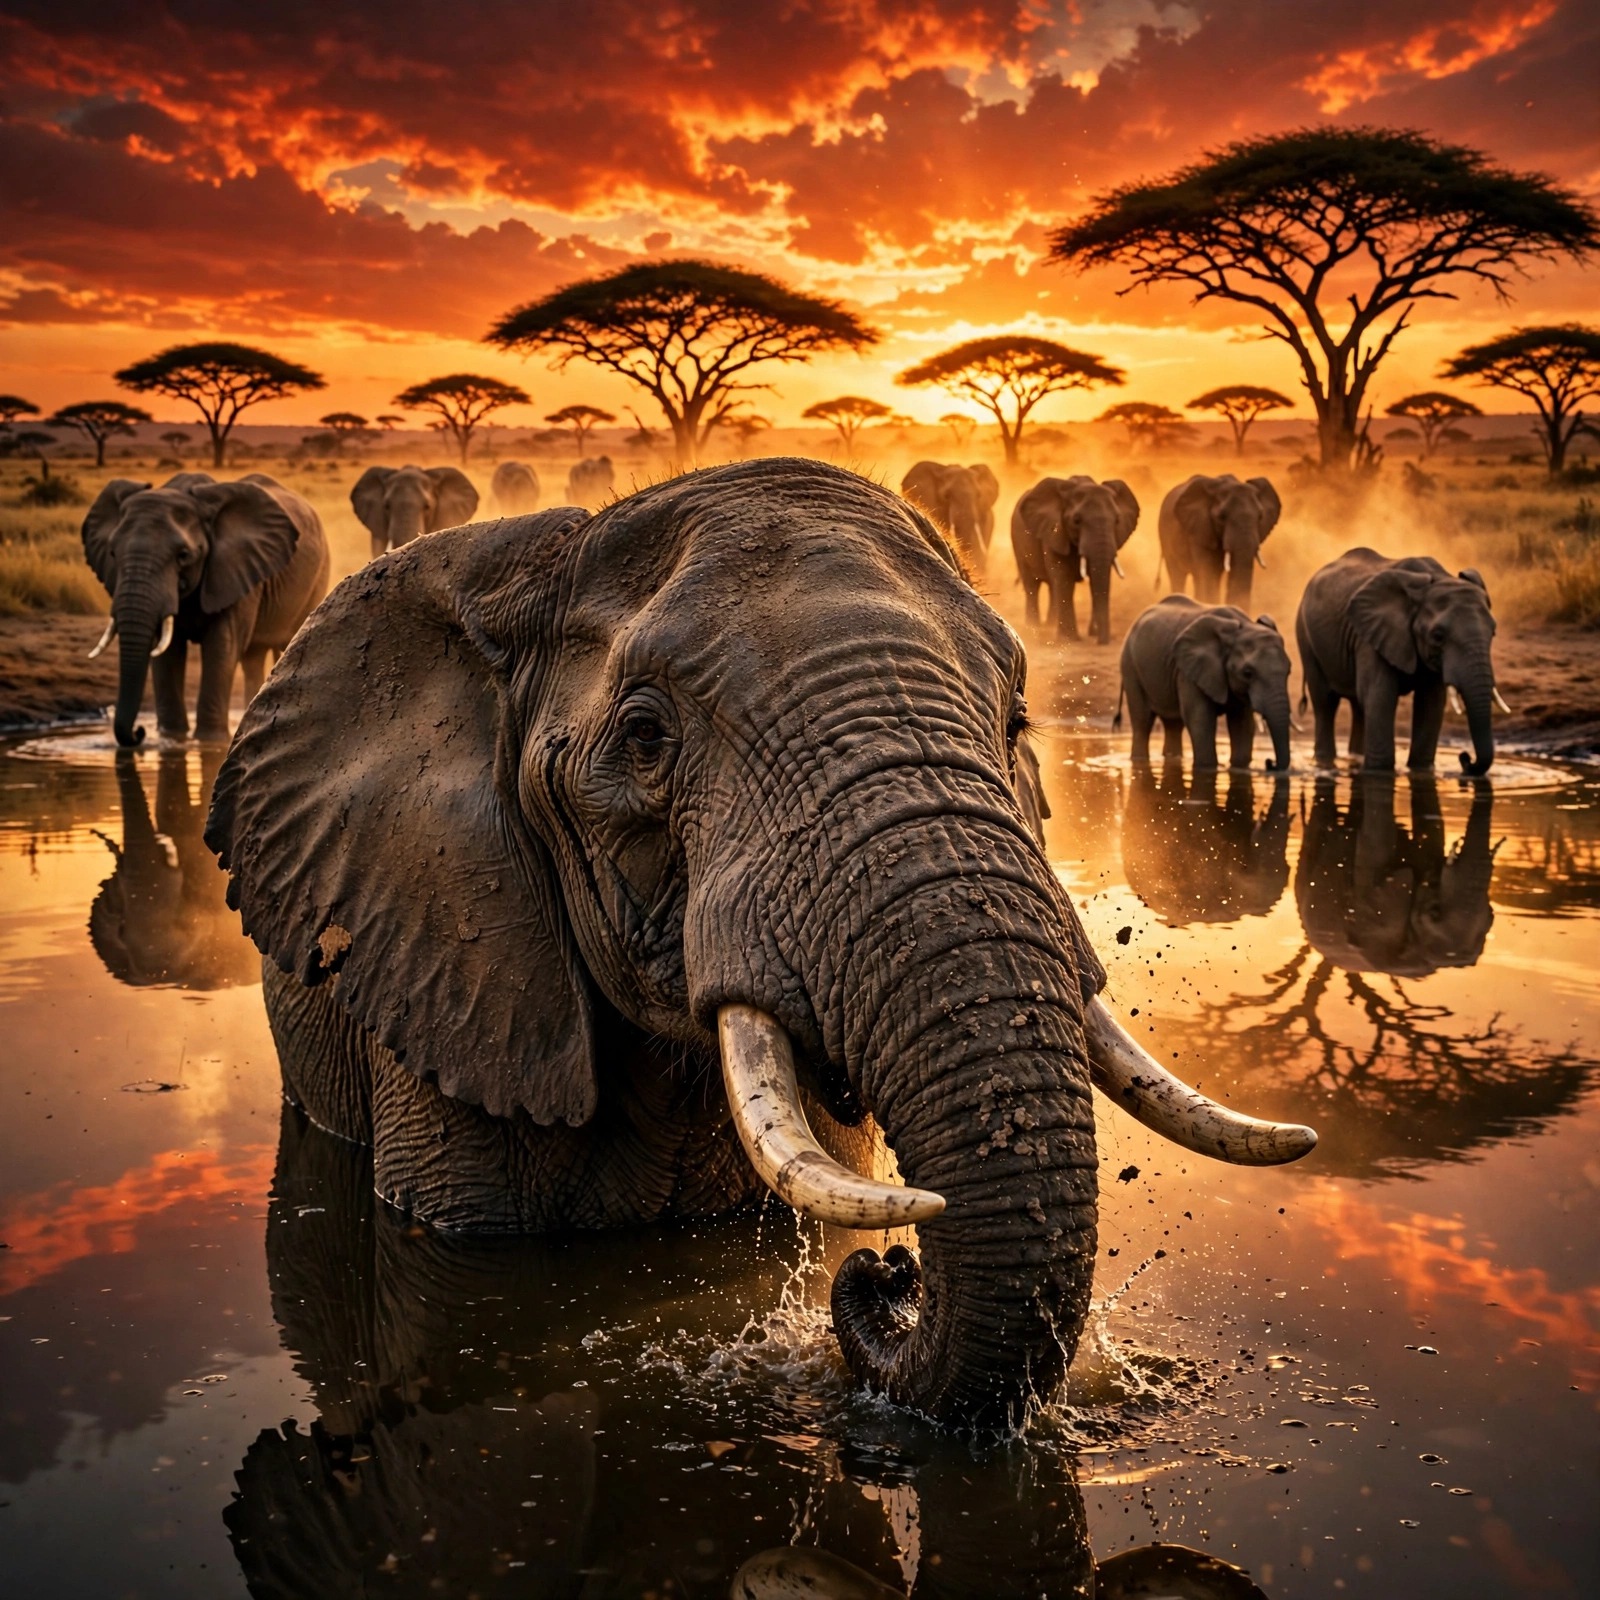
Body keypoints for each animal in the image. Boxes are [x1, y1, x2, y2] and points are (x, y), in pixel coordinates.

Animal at [81, 472, 329, 748]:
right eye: (113, 553)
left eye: (183, 555)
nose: (139, 733)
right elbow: (167, 651)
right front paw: (172, 738)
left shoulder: (233, 570)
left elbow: (221, 646)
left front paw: (209, 741)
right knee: (253, 658)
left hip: (318, 579)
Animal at [1011, 475, 1140, 643]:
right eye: (1076, 520)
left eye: (1117, 520)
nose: (1101, 641)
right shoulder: (1054, 532)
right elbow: (1064, 577)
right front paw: (1069, 639)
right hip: (1017, 542)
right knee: (1032, 584)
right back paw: (1033, 628)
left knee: (1052, 586)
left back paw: (1050, 625)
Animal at [1116, 596, 1294, 772]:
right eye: (1247, 673)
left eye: (1289, 671)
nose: (1269, 762)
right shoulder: (1188, 671)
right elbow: (1200, 720)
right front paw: (1208, 768)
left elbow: (1242, 723)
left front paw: (1239, 766)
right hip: (1130, 666)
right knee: (1142, 721)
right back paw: (1139, 760)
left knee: (1173, 724)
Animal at [1157, 474, 1282, 606]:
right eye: (1222, 517)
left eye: (1260, 516)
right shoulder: (1199, 530)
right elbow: (1208, 573)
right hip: (1165, 537)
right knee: (1178, 575)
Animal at [1296, 549, 1501, 776]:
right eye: (1438, 636)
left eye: (1493, 632)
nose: (1465, 758)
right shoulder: (1370, 638)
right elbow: (1380, 697)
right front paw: (1380, 772)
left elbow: (1431, 703)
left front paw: (1422, 771)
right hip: (1306, 637)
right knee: (1325, 703)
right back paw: (1324, 762)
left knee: (1358, 706)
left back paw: (1355, 757)